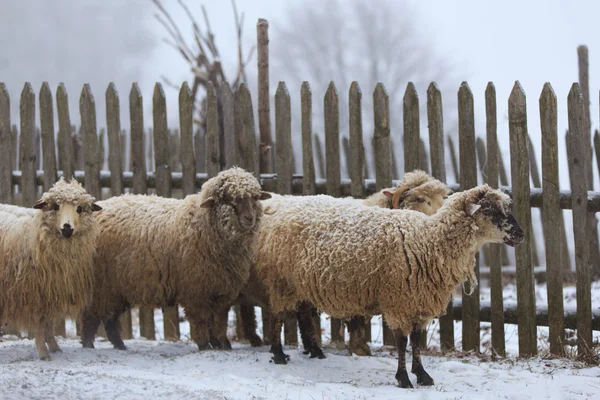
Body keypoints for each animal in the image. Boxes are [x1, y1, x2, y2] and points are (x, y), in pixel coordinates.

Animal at [0, 177, 101, 360]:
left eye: (79, 208)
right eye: (55, 206)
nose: (67, 228)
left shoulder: (52, 291)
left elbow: (49, 323)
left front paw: (54, 346)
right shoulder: (36, 294)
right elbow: (40, 324)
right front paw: (43, 352)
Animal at [81, 167, 274, 352]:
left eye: (255, 197)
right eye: (229, 199)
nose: (249, 218)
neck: (204, 224)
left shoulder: (221, 291)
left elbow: (219, 321)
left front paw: (221, 345)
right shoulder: (196, 290)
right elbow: (202, 320)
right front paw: (205, 346)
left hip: (116, 287)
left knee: (109, 318)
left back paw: (118, 346)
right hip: (101, 285)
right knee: (92, 317)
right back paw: (90, 345)